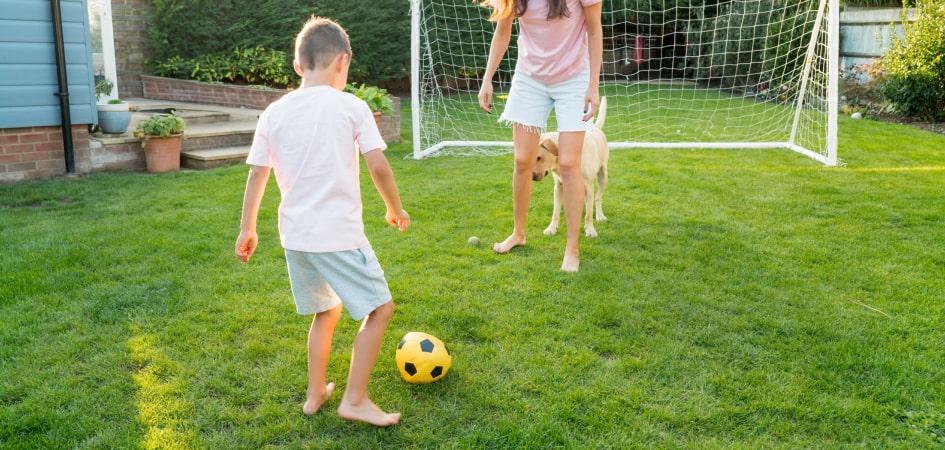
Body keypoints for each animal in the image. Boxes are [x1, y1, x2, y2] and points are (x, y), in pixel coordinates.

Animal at [528, 97, 608, 239]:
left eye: (538, 158)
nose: (532, 177)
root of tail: (595, 127)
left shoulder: (588, 185)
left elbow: (588, 214)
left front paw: (590, 230)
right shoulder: (558, 186)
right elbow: (555, 211)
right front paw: (551, 228)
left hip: (603, 176)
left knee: (598, 198)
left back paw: (599, 215)